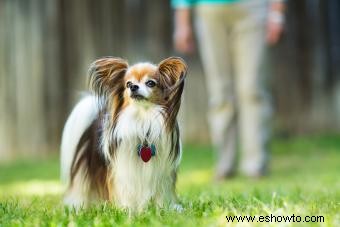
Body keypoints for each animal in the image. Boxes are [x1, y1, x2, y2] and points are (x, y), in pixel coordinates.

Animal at [61, 56, 189, 211]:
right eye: (128, 84)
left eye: (150, 83)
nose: (133, 87)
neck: (142, 120)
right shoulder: (123, 172)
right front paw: (128, 210)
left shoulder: (161, 174)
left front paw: (164, 209)